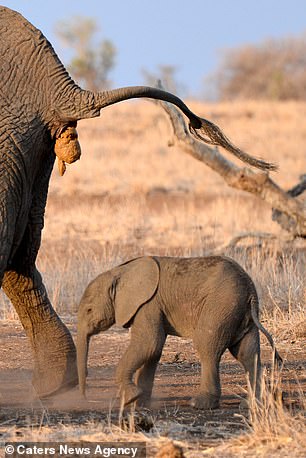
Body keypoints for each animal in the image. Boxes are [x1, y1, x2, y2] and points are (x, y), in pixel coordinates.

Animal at [77, 256, 282, 410]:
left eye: (89, 310)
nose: (84, 397)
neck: (120, 272)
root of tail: (250, 289)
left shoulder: (146, 304)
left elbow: (149, 343)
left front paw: (130, 399)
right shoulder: (150, 306)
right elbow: (153, 350)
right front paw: (140, 403)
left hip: (221, 305)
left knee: (207, 346)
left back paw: (200, 404)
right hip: (241, 312)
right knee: (247, 353)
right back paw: (253, 405)